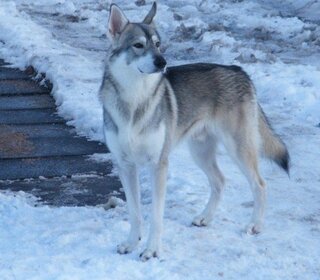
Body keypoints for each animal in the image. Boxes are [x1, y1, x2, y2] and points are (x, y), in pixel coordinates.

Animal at [100, 2, 290, 262]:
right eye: (138, 45)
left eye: (158, 44)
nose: (162, 62)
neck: (135, 101)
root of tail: (239, 70)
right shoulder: (125, 165)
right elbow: (135, 214)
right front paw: (131, 243)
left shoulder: (158, 165)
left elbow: (156, 217)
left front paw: (151, 250)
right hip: (200, 152)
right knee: (220, 181)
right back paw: (205, 218)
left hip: (238, 149)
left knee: (260, 185)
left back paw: (255, 226)